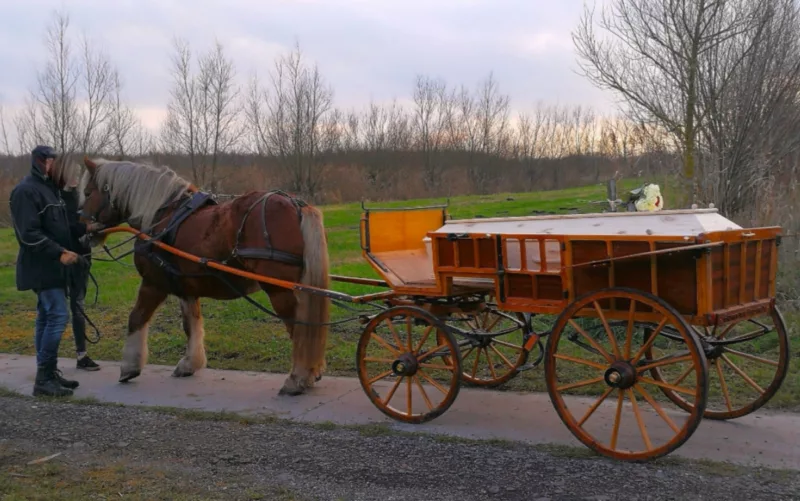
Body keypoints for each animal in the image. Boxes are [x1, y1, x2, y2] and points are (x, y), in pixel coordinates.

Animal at [77, 156, 330, 396]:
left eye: (88, 193)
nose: (82, 229)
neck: (162, 217)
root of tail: (295, 203)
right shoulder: (186, 288)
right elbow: (191, 324)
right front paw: (190, 363)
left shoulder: (153, 284)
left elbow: (136, 318)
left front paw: (129, 367)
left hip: (280, 291)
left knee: (300, 331)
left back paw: (297, 378)